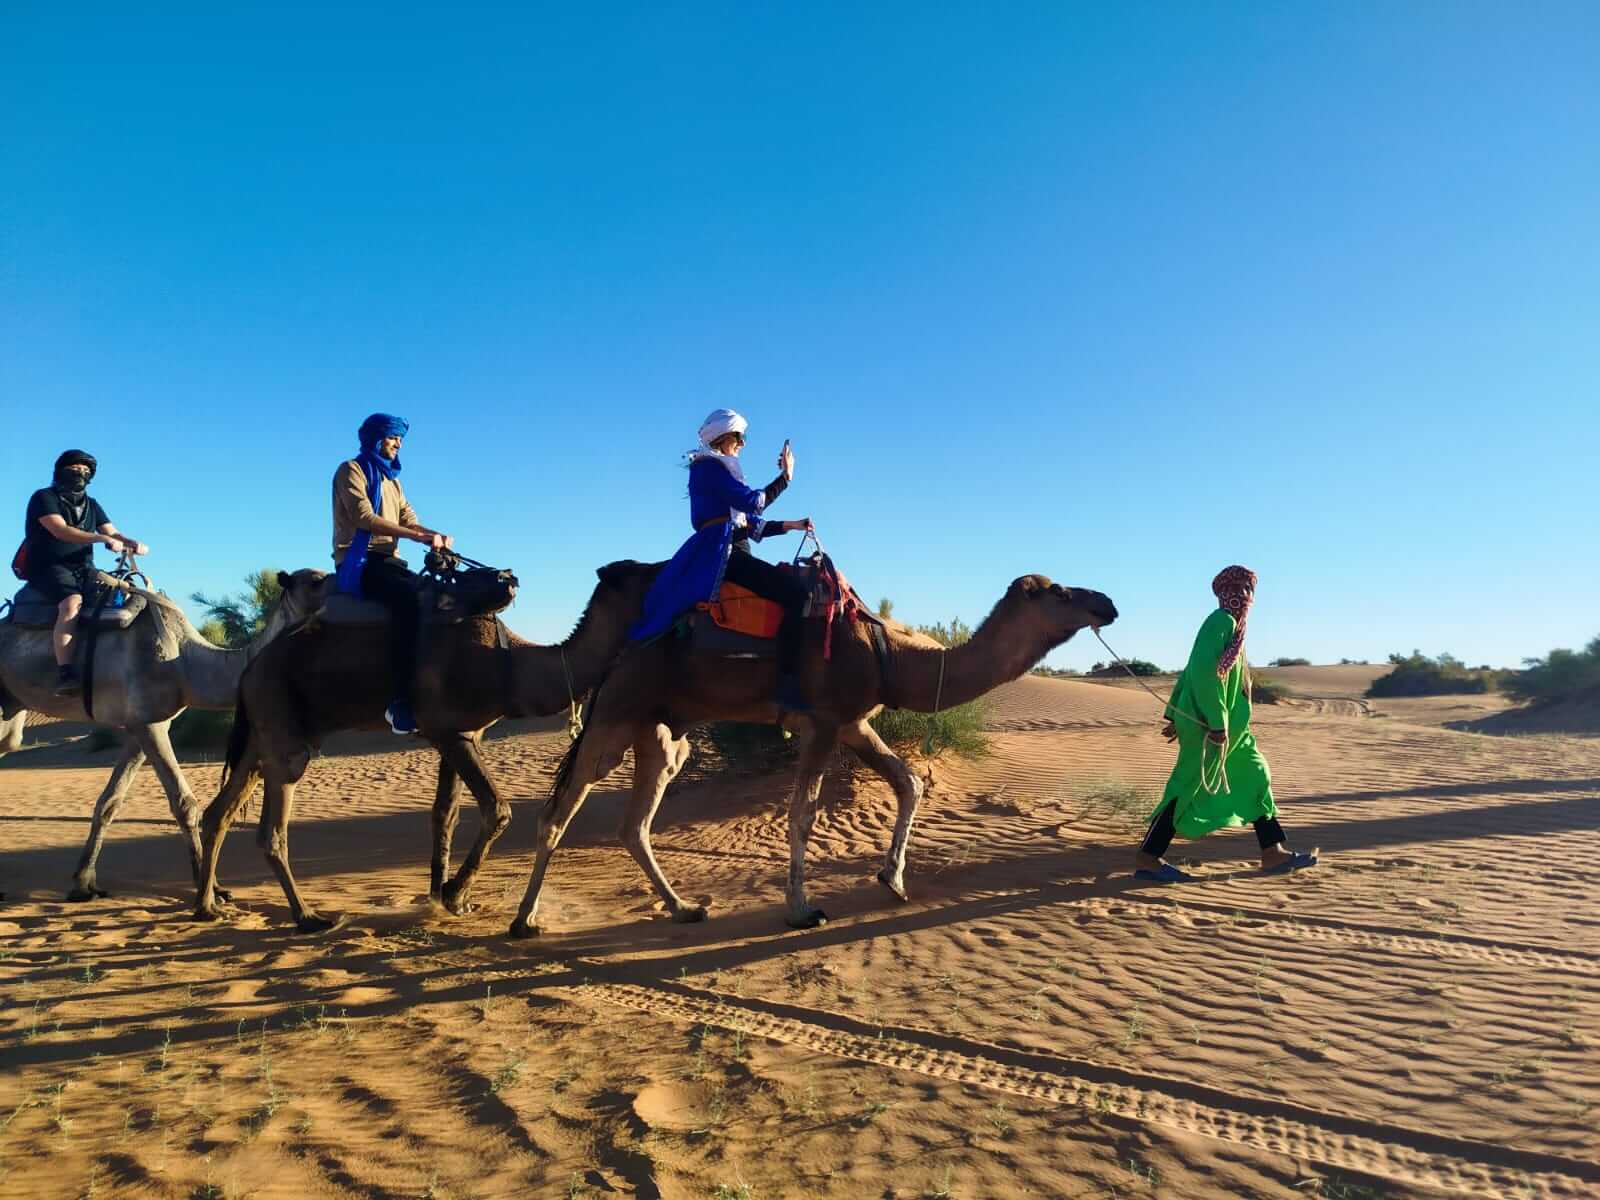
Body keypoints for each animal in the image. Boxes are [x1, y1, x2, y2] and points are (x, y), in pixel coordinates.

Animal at [0, 570, 330, 899]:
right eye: (314, 581)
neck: (185, 663)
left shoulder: (140, 726)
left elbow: (109, 802)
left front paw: (83, 883)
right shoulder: (150, 724)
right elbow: (185, 804)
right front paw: (208, 889)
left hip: (13, 707)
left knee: (10, 742)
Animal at [193, 560, 662, 931]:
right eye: (650, 573)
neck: (510, 666)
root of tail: (249, 670)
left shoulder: (462, 734)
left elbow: (445, 815)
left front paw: (445, 898)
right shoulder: (449, 732)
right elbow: (497, 809)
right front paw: (453, 893)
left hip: (260, 739)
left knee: (218, 813)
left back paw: (207, 906)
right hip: (284, 734)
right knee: (272, 828)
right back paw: (307, 917)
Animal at [509, 574, 1118, 936]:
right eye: (1061, 592)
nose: (1107, 602)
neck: (892, 656)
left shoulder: (853, 721)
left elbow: (908, 782)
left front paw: (893, 881)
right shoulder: (823, 722)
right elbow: (802, 813)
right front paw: (802, 909)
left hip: (659, 731)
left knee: (634, 823)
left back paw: (685, 908)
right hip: (615, 714)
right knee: (558, 811)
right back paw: (524, 919)